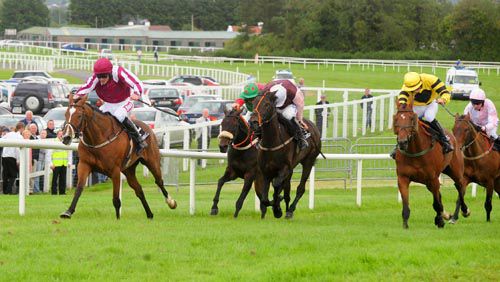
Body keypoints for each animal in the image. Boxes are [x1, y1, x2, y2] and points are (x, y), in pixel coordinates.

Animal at [248, 90, 322, 218]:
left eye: (267, 104)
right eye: (253, 103)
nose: (253, 122)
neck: (272, 143)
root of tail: (314, 127)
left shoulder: (284, 168)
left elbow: (277, 184)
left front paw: (277, 208)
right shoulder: (265, 171)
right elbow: (264, 197)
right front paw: (275, 206)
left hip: (308, 161)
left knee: (300, 188)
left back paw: (290, 210)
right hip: (292, 167)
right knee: (286, 186)